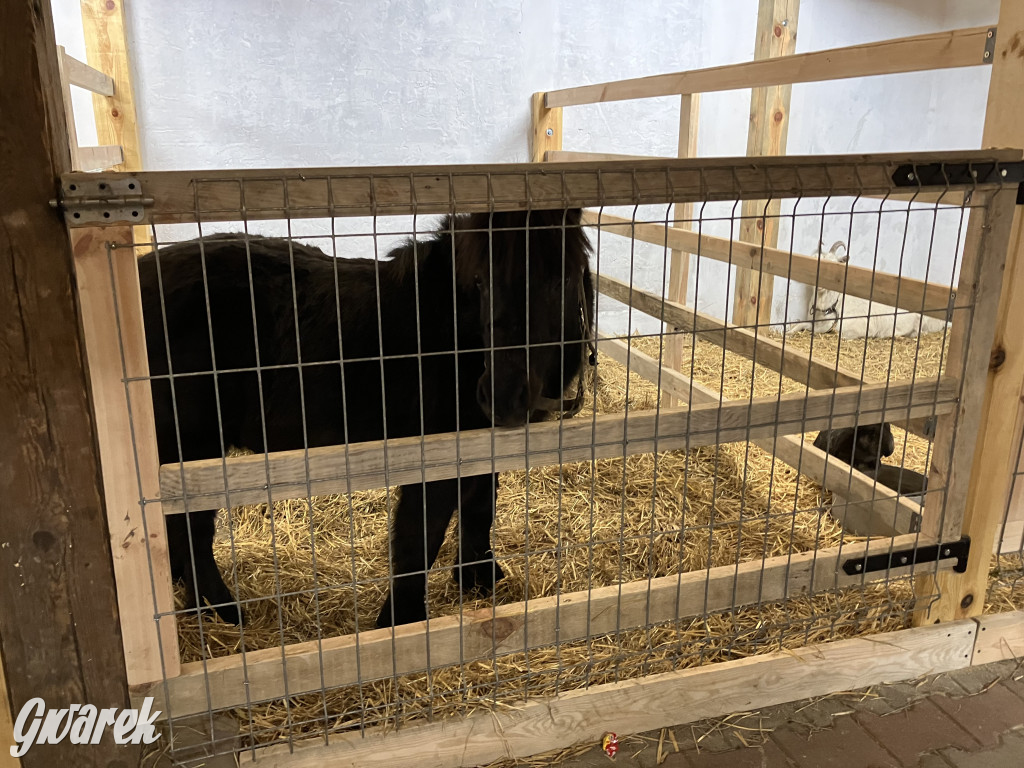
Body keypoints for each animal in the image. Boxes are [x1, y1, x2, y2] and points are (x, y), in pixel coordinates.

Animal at [140, 207, 598, 626]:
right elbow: (419, 539)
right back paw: (222, 609)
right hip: (191, 449)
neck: (447, 334)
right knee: (193, 532)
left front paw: (478, 577)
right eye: (481, 281)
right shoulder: (434, 465)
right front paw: (401, 621)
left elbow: (479, 510)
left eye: (561, 280)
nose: (503, 399)